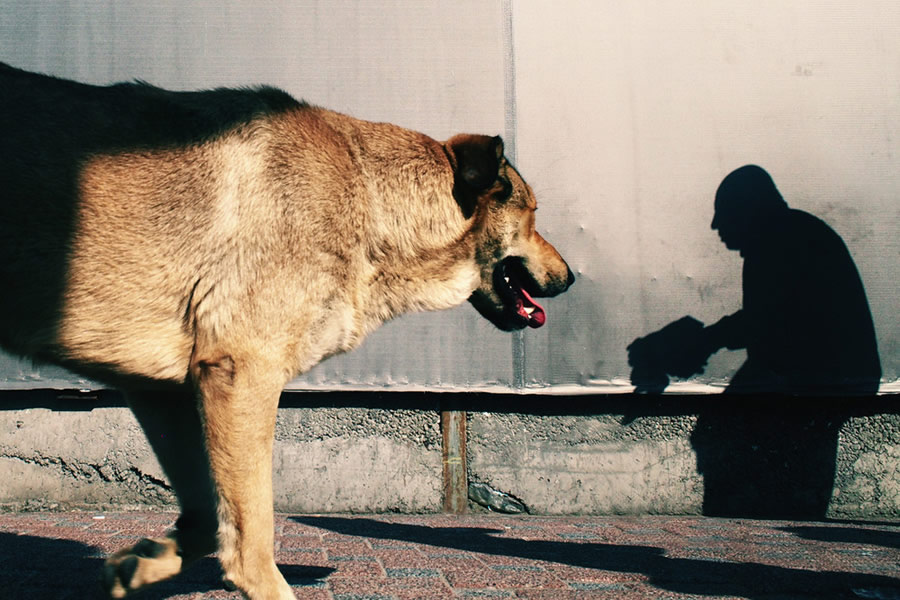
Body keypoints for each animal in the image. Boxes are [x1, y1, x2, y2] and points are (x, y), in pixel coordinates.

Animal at [0, 63, 572, 596]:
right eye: (533, 213)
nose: (570, 278)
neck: (369, 196)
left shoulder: (164, 390)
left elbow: (208, 516)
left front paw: (141, 565)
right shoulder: (241, 376)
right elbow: (252, 527)